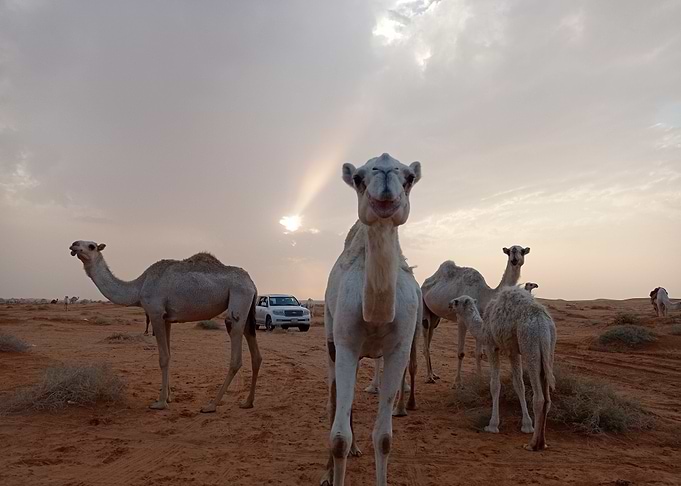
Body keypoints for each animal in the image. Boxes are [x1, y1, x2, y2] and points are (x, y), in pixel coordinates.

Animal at [69, 241, 262, 411]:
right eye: (78, 243)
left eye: (91, 246)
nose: (74, 245)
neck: (139, 287)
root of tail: (252, 284)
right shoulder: (167, 318)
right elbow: (169, 355)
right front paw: (168, 397)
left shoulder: (155, 313)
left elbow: (162, 358)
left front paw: (160, 403)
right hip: (248, 310)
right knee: (256, 355)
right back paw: (248, 402)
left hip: (238, 299)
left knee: (236, 356)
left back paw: (211, 405)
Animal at [321, 153, 421, 486]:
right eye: (358, 178)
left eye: (409, 178)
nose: (386, 172)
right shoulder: (346, 344)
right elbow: (339, 437)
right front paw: (333, 472)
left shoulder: (399, 349)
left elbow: (385, 438)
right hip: (331, 341)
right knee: (334, 400)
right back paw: (330, 469)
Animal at [421, 245, 530, 386]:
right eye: (509, 251)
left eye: (522, 251)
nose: (514, 260)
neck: (485, 295)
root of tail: (424, 283)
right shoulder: (461, 319)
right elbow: (460, 353)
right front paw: (457, 382)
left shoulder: (480, 320)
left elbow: (479, 354)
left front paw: (480, 379)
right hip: (423, 306)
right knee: (425, 336)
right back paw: (429, 377)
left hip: (435, 315)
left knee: (430, 333)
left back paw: (434, 374)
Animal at [450, 289, 555, 451]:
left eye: (457, 301)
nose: (450, 303)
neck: (483, 327)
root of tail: (541, 321)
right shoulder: (513, 351)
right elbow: (519, 385)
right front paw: (527, 425)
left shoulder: (491, 346)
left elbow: (495, 385)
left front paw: (492, 425)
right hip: (548, 349)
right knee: (547, 398)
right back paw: (542, 442)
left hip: (529, 344)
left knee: (539, 398)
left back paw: (532, 444)